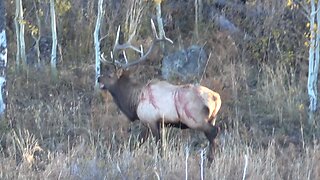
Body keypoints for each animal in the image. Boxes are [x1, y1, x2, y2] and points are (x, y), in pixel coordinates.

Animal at [99, 19, 221, 162]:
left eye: (109, 75)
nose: (98, 78)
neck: (134, 102)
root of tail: (216, 98)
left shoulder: (150, 120)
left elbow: (155, 145)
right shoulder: (157, 124)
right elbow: (142, 143)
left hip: (195, 119)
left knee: (213, 132)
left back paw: (210, 160)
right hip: (212, 117)